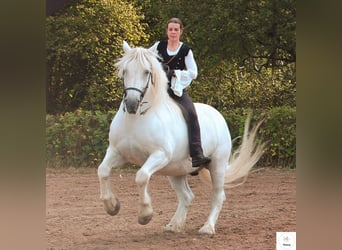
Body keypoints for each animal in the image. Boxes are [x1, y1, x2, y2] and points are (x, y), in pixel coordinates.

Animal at [97, 40, 264, 234]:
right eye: (125, 71)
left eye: (146, 71)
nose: (131, 104)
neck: (137, 119)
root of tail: (217, 115)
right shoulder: (117, 152)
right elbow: (103, 170)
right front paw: (112, 206)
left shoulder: (159, 155)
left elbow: (141, 176)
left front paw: (145, 215)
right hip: (175, 170)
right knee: (187, 196)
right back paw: (173, 225)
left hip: (217, 166)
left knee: (218, 195)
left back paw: (207, 228)